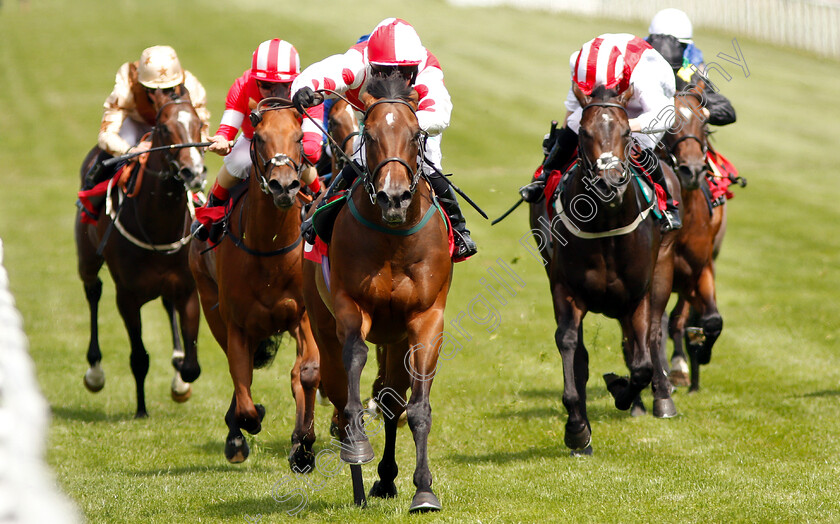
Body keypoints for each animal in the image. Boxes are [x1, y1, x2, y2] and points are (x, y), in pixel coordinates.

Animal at [75, 89, 207, 418]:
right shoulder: (127, 297)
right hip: (87, 258)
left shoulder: (187, 289)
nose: (194, 172)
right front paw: (141, 410)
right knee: (93, 291)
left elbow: (192, 366)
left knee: (167, 306)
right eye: (165, 129)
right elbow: (139, 357)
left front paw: (180, 382)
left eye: (199, 124)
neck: (158, 228)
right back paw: (95, 372)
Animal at [189, 98, 320, 466]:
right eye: (259, 138)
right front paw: (247, 423)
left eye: (299, 137)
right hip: (210, 305)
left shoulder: (302, 316)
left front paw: (304, 444)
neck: (270, 250)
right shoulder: (237, 324)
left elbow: (306, 373)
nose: (284, 186)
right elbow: (242, 384)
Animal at [302, 74, 452, 512]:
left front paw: (424, 490)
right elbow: (354, 368)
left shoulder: (425, 319)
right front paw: (357, 448)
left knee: (391, 398)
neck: (393, 238)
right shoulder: (351, 308)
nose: (393, 196)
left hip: (396, 336)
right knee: (338, 392)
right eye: (369, 136)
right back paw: (358, 479)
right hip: (321, 322)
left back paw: (385, 479)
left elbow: (415, 408)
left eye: (416, 134)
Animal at [548, 86, 680, 454]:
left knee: (652, 335)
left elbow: (642, 365)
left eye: (625, 133)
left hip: (663, 270)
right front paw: (577, 428)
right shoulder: (565, 289)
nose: (609, 184)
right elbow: (569, 346)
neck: (606, 224)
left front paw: (622, 390)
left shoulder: (638, 296)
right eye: (584, 132)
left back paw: (661, 399)